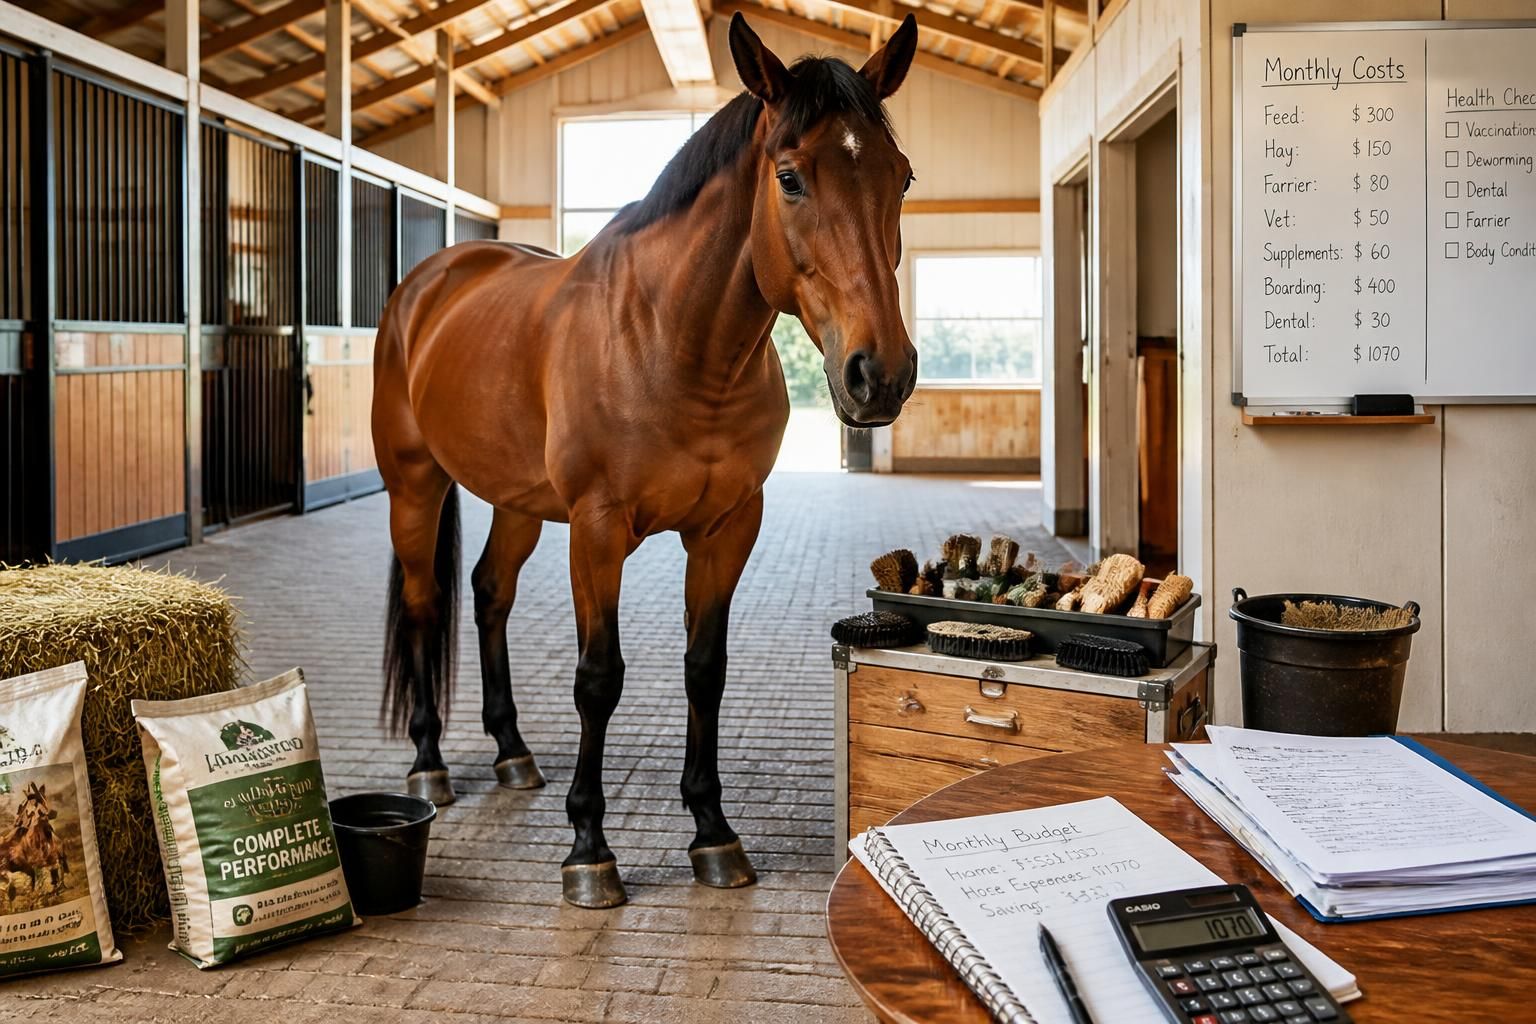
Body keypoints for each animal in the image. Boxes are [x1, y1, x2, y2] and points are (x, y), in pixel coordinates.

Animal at [373, 13, 920, 908]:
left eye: (901, 178)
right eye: (791, 178)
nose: (882, 374)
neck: (673, 343)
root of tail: (432, 280)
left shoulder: (728, 527)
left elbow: (705, 668)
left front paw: (713, 832)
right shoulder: (597, 531)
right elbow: (600, 677)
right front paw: (589, 850)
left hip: (519, 502)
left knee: (488, 594)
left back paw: (512, 752)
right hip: (414, 485)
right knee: (425, 605)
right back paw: (429, 765)